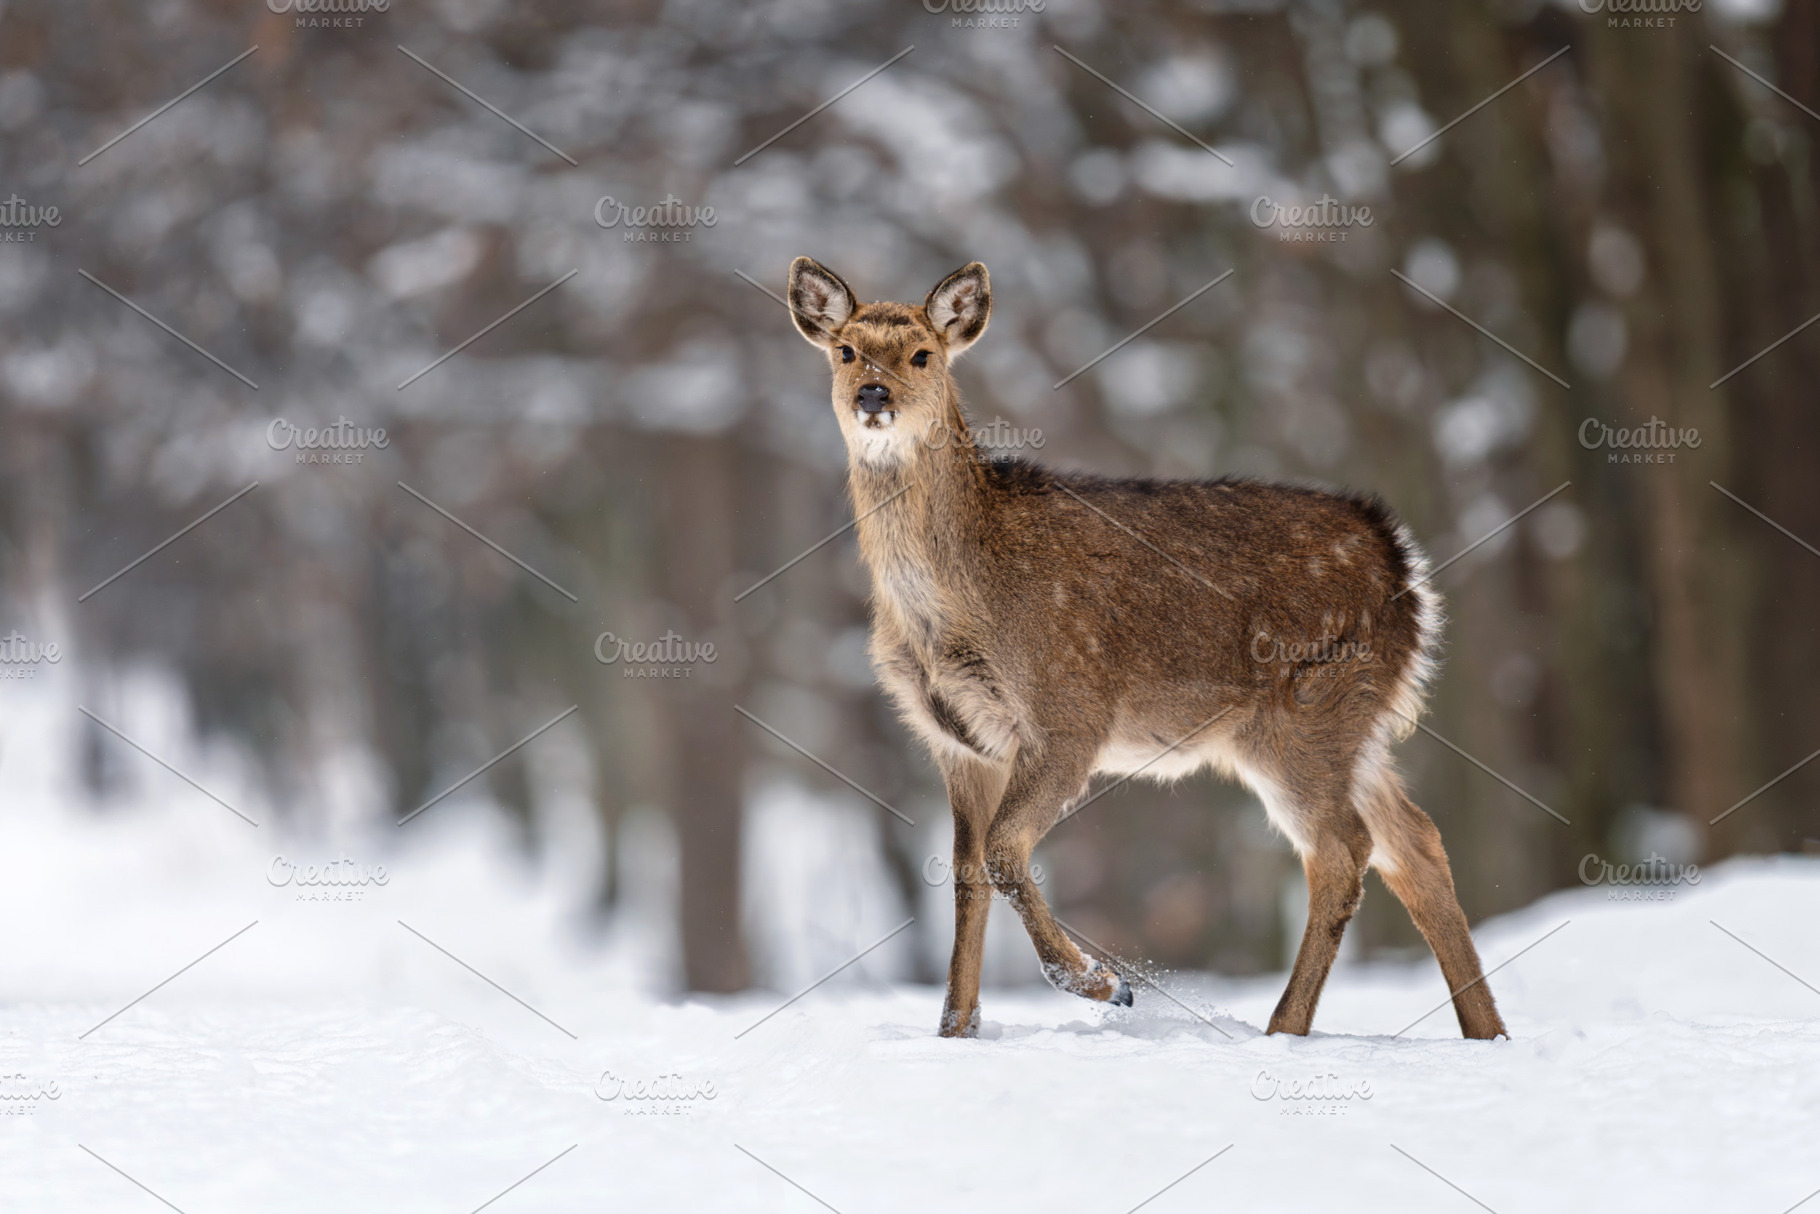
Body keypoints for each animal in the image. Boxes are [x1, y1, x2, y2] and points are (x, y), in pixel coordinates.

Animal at [786, 256, 1507, 1041]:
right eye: (845, 351)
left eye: (922, 354)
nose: (874, 394)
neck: (955, 606)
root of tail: (1405, 562)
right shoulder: (958, 740)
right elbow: (966, 874)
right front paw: (956, 1029)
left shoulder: (1071, 711)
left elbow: (1003, 854)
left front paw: (1106, 984)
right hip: (1355, 725)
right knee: (1417, 843)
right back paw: (1486, 1033)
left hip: (1304, 713)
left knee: (1343, 853)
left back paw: (1283, 1029)